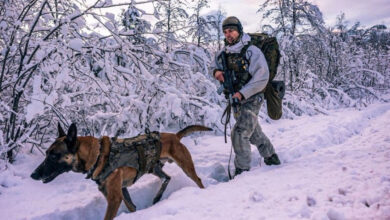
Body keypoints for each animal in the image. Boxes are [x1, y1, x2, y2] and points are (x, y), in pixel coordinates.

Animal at [30, 123, 212, 219]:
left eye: (54, 155)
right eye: (46, 153)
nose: (33, 175)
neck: (97, 155)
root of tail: (175, 135)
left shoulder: (114, 198)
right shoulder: (120, 191)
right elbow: (132, 206)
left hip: (186, 166)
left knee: (198, 180)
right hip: (152, 167)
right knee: (166, 178)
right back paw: (157, 197)